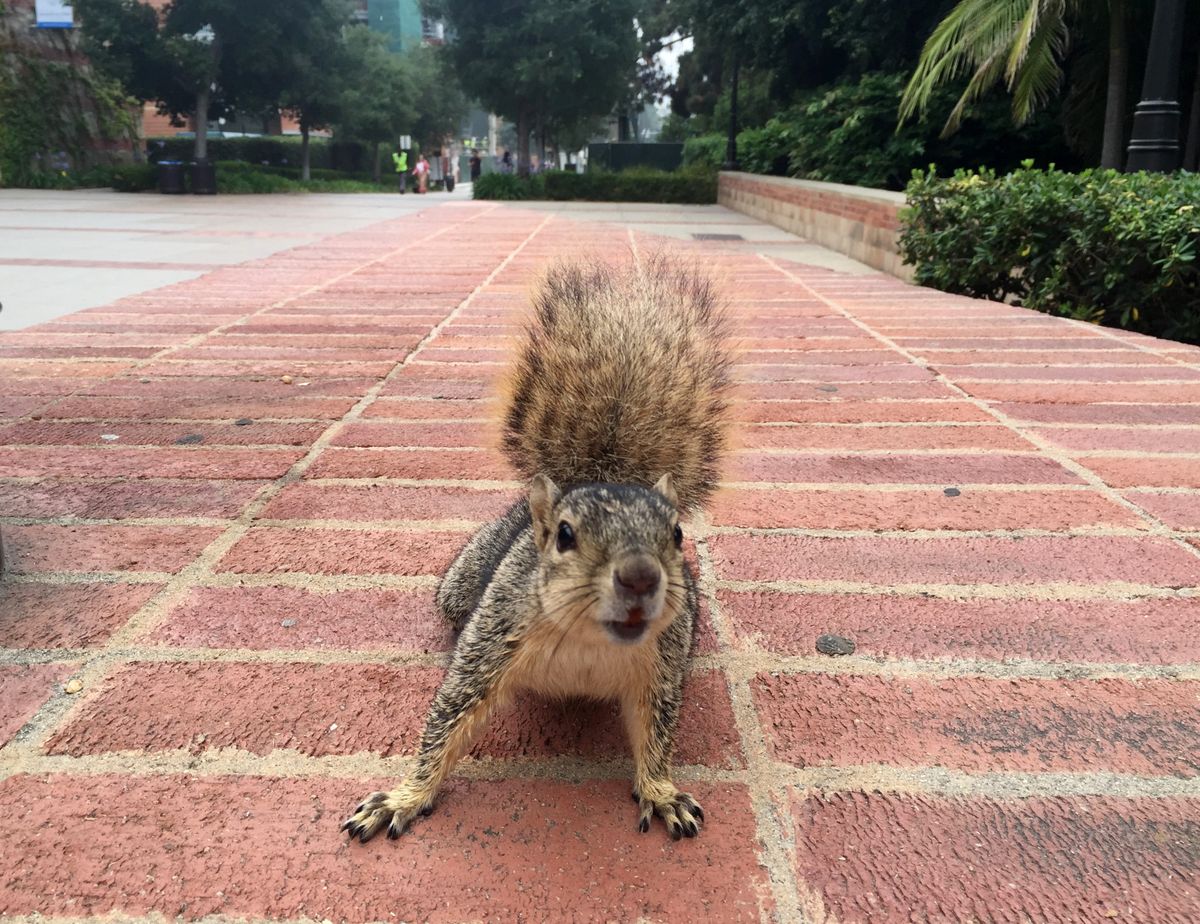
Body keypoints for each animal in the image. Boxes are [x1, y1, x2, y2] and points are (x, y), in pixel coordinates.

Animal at [342, 255, 732, 843]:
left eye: (678, 534)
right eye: (565, 535)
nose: (640, 577)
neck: (590, 641)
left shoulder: (660, 667)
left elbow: (658, 731)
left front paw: (662, 793)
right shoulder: (496, 635)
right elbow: (449, 717)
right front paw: (404, 796)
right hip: (464, 585)